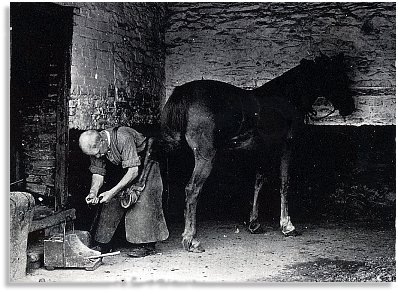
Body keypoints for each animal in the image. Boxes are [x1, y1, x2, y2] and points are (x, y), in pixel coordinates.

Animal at [159, 53, 354, 253]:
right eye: (338, 77)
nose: (350, 107)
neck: (287, 97)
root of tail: (182, 93)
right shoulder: (286, 147)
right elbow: (284, 182)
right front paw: (287, 225)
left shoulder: (263, 151)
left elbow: (259, 182)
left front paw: (254, 223)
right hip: (205, 156)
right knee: (192, 190)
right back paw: (191, 239)